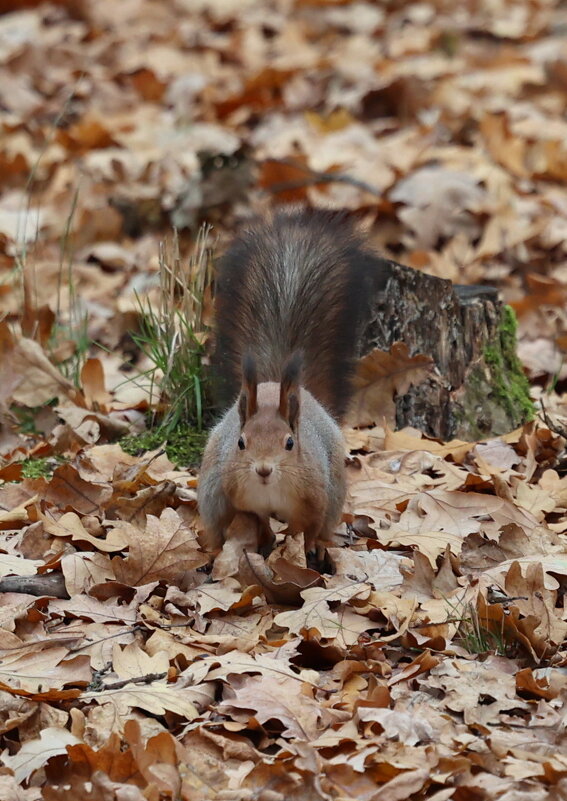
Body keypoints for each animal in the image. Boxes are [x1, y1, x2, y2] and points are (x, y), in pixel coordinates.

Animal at [197, 209, 388, 552]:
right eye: (241, 442)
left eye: (290, 443)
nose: (263, 470)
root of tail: (272, 383)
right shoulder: (240, 496)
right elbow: (255, 520)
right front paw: (267, 540)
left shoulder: (314, 498)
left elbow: (306, 528)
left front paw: (301, 548)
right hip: (213, 491)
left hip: (334, 489)